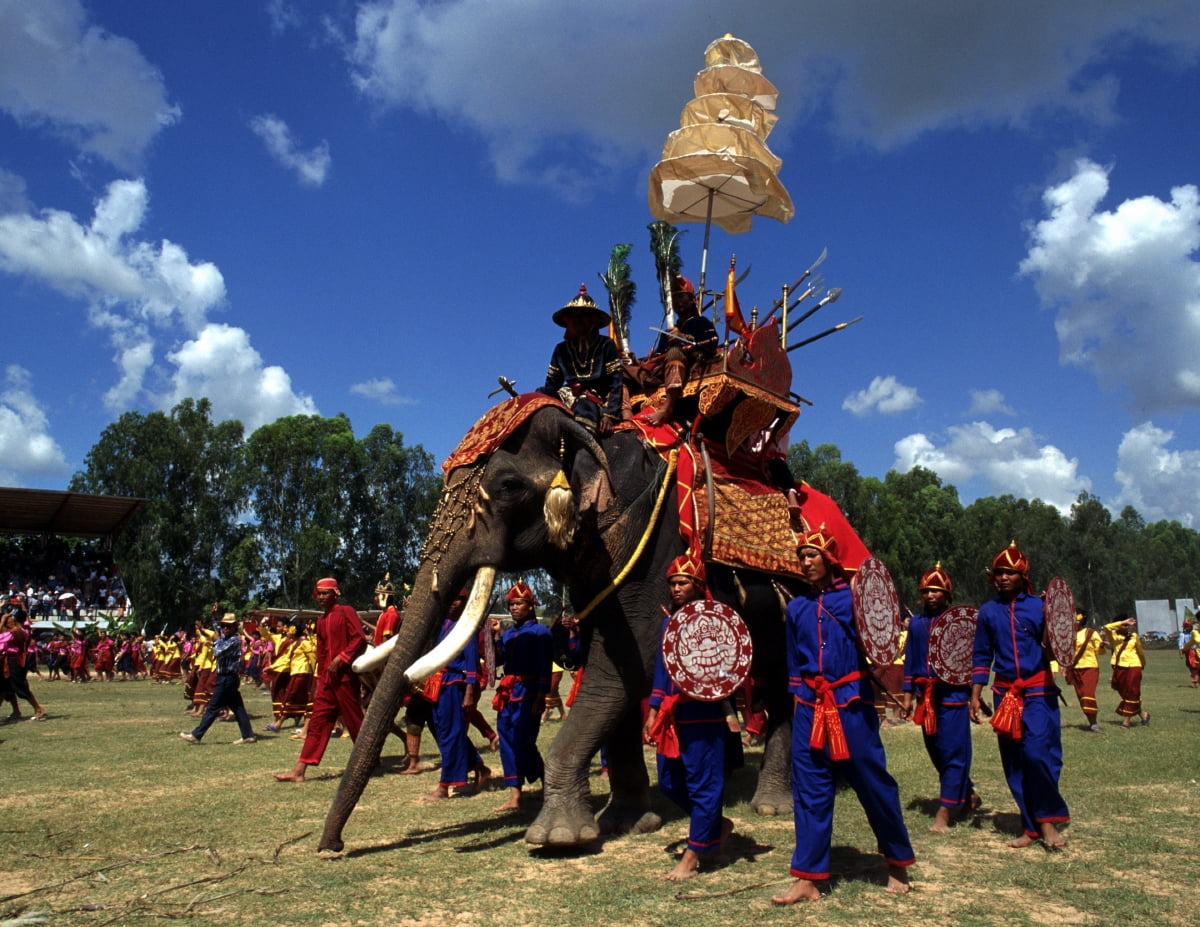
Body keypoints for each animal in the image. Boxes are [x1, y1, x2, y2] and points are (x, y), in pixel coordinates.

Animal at [319, 393, 825, 854]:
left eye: (507, 485)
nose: (333, 846)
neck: (593, 429)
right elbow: (618, 668)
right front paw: (628, 821)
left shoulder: (652, 541)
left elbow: (635, 658)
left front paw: (557, 837)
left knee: (782, 682)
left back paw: (772, 805)